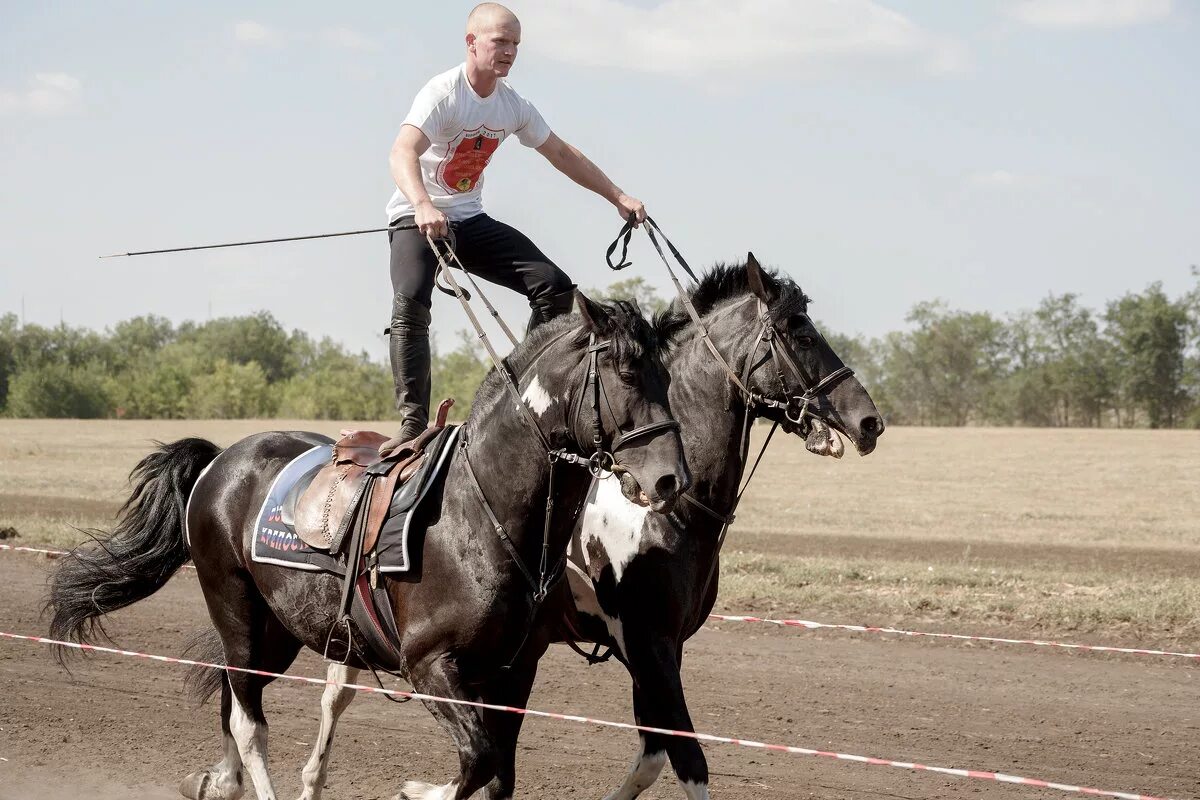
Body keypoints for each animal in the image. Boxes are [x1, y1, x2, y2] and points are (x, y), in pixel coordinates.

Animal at [49, 296, 686, 800]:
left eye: (668, 377)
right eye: (627, 373)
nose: (670, 480)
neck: (478, 515)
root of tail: (221, 460)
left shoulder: (511, 673)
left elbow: (498, 774)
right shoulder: (429, 665)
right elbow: (477, 762)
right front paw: (415, 790)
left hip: (280, 632)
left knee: (234, 704)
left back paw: (218, 782)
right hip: (236, 613)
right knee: (250, 723)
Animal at [559, 257, 883, 800]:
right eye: (801, 334)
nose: (870, 422)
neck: (665, 507)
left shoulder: (665, 649)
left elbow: (652, 755)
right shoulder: (648, 644)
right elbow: (688, 758)